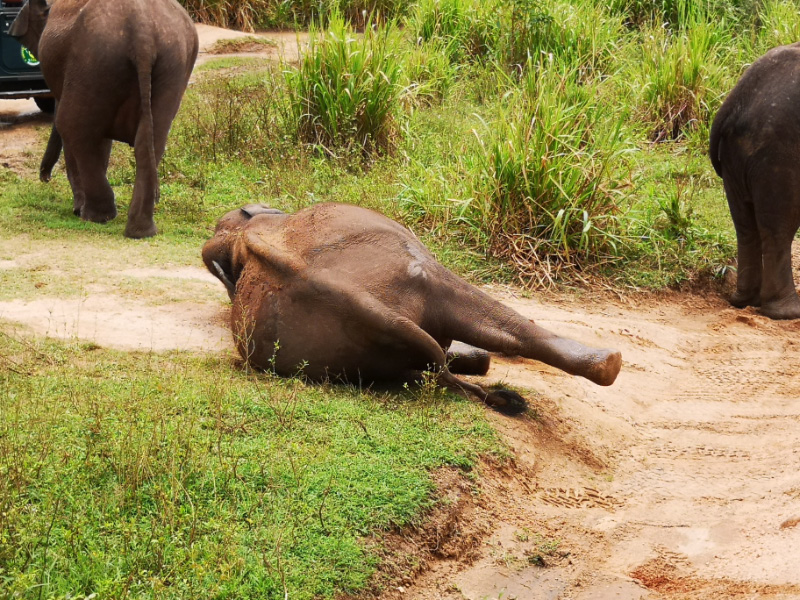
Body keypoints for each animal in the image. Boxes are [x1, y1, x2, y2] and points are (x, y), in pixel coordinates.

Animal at [9, 0, 198, 238]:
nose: (45, 178)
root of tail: (143, 30)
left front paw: (77, 210)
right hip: (171, 63)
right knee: (152, 140)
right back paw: (141, 231)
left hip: (95, 58)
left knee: (73, 127)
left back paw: (95, 217)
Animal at [709, 42, 800, 319]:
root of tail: (733, 104)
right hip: (780, 155)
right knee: (780, 228)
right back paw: (786, 312)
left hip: (738, 155)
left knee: (745, 225)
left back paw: (744, 300)